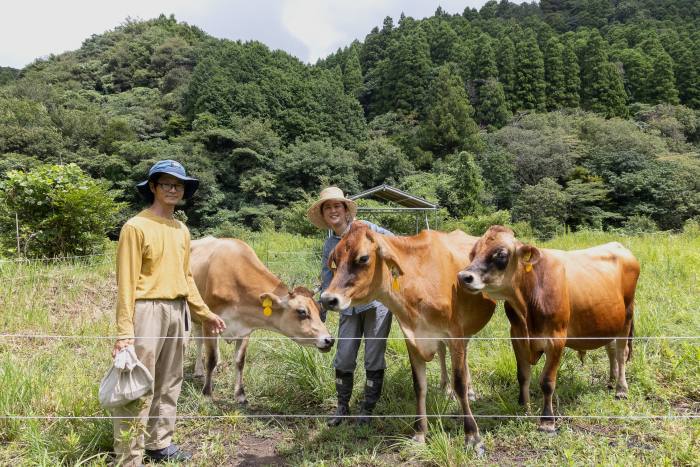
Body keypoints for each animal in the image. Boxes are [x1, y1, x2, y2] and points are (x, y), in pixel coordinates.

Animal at [190, 238, 334, 402]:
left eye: (319, 309)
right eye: (302, 312)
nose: (329, 340)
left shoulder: (245, 329)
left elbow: (240, 361)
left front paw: (240, 395)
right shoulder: (209, 323)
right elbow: (211, 359)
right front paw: (207, 394)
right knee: (198, 341)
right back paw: (198, 370)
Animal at [320, 222, 494, 454]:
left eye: (363, 258)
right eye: (335, 260)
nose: (327, 299)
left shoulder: (455, 334)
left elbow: (459, 383)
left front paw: (473, 436)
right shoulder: (412, 339)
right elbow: (419, 385)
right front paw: (420, 432)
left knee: (463, 360)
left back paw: (470, 390)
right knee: (443, 353)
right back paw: (444, 387)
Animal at [460, 225, 640, 434]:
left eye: (501, 254)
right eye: (473, 253)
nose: (463, 277)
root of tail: (619, 246)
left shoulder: (556, 339)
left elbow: (547, 382)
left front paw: (547, 421)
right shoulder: (517, 336)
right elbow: (522, 375)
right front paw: (524, 408)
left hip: (627, 315)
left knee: (621, 352)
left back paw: (621, 389)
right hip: (609, 320)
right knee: (611, 349)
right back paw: (611, 381)